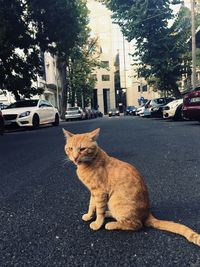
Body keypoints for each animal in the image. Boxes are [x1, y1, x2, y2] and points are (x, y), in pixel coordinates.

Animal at [63, 127, 200, 247]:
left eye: (82, 149)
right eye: (70, 148)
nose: (75, 157)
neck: (89, 162)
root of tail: (147, 212)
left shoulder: (100, 192)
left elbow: (99, 210)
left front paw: (97, 223)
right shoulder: (93, 192)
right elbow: (92, 205)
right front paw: (89, 215)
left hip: (115, 202)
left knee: (137, 224)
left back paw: (112, 224)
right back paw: (109, 214)